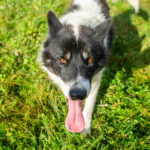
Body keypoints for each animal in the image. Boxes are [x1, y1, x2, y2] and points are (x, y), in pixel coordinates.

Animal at [38, 0, 139, 134]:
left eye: (90, 60)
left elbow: (89, 105)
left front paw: (85, 128)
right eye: (62, 59)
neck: (78, 22)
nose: (78, 94)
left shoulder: (95, 82)